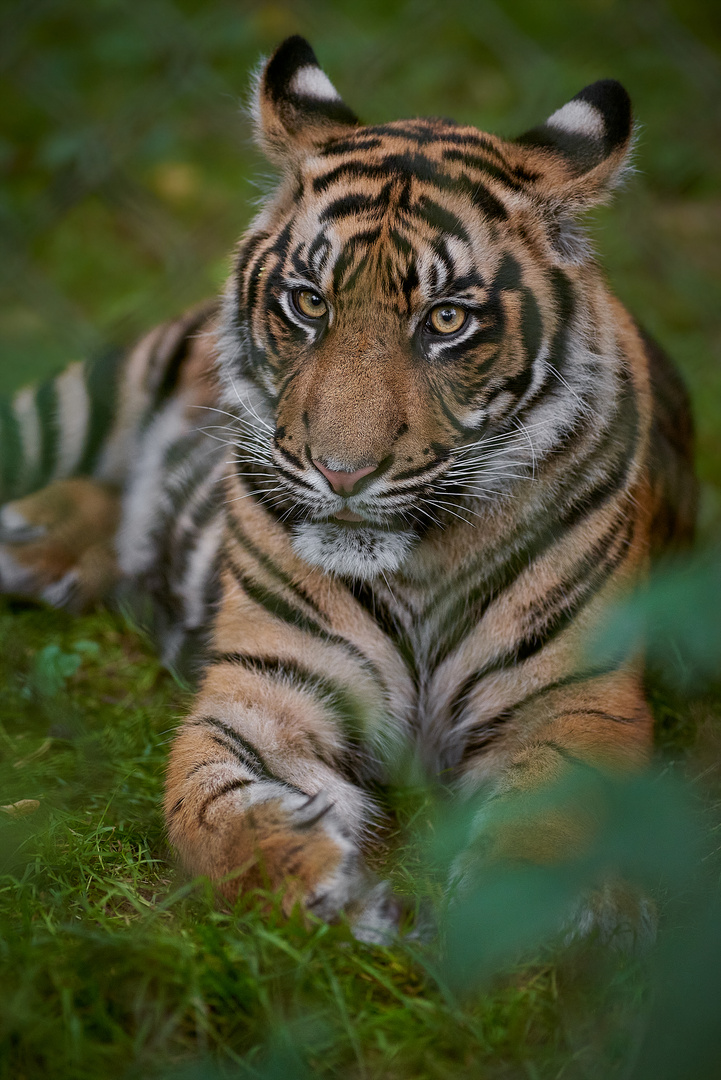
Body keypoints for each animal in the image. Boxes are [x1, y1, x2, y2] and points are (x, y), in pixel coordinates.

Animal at [1, 33, 699, 946]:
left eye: (446, 320)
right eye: (307, 303)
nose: (340, 471)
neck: (420, 564)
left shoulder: (575, 700)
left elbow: (550, 830)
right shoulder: (267, 684)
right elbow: (209, 813)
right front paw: (327, 883)